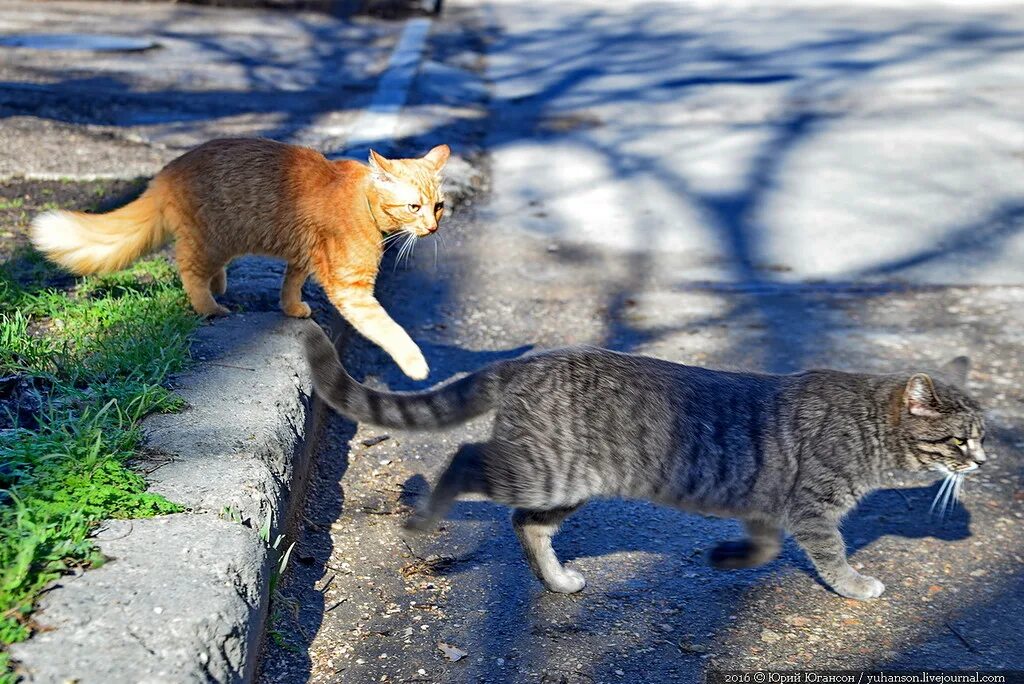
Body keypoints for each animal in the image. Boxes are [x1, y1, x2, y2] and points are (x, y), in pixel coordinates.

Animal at [30, 135, 448, 376]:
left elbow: (291, 282)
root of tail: (167, 171)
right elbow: (390, 329)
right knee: (189, 271)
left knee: (208, 270)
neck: (363, 201)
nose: (432, 228)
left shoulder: (303, 257)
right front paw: (416, 365)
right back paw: (210, 306)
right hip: (210, 240)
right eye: (414, 207)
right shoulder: (352, 288)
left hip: (222, 242)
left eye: (439, 206)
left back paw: (219, 286)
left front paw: (291, 308)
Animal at [301, 325, 983, 597]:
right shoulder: (812, 509)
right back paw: (425, 515)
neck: (865, 426)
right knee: (466, 459)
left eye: (981, 436)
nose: (979, 462)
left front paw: (732, 558)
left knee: (527, 526)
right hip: (540, 471)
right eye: (959, 441)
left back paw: (558, 579)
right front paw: (855, 584)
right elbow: (834, 556)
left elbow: (761, 545)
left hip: (565, 484)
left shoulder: (769, 506)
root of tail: (528, 362)